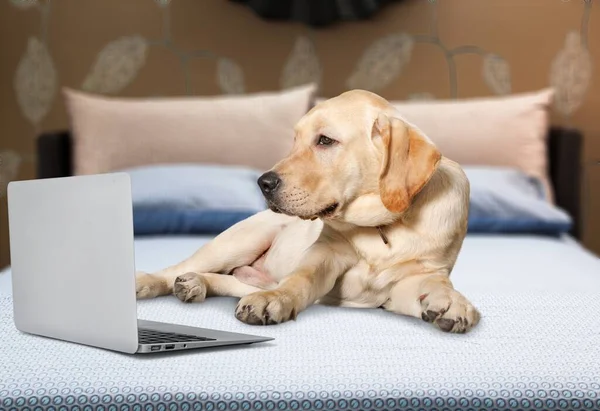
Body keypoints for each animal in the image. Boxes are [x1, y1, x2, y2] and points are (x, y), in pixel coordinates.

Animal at [134, 90, 480, 334]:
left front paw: (452, 303)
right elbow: (301, 278)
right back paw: (148, 282)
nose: (263, 182)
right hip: (239, 240)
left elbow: (438, 285)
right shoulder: (324, 253)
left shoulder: (413, 280)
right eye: (295, 139)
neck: (383, 227)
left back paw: (195, 284)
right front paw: (277, 301)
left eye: (325, 140)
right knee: (177, 268)